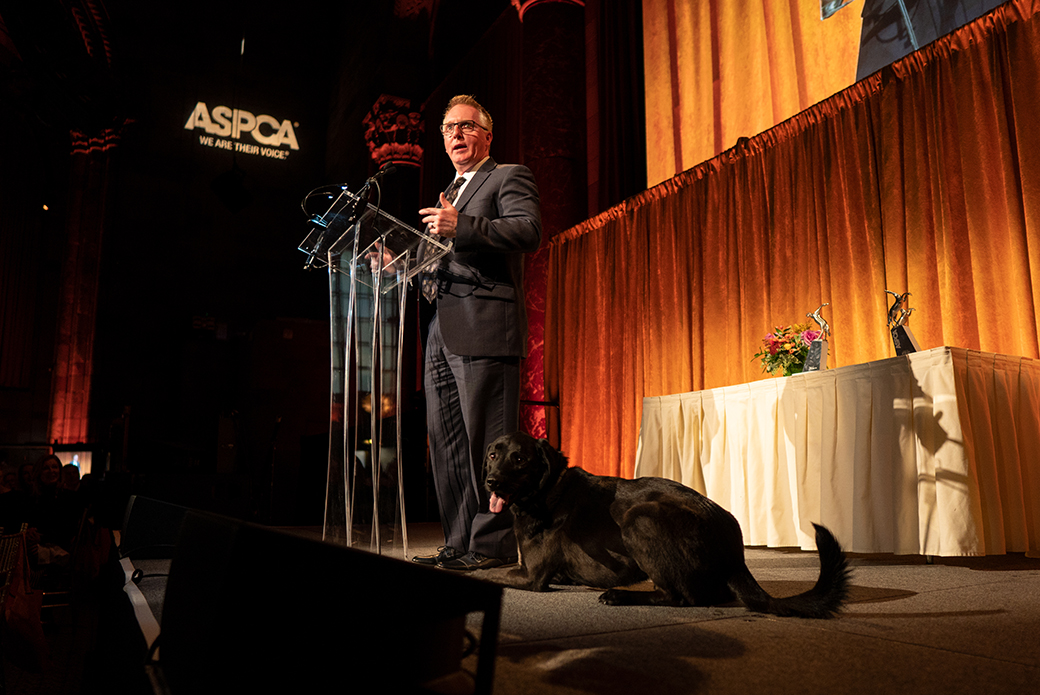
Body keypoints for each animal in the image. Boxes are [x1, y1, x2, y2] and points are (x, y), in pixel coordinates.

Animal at [482, 428, 848, 620]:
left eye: (519, 459)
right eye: (492, 455)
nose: (490, 482)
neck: (547, 490)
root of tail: (735, 553)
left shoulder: (531, 576)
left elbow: (484, 575)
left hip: (638, 517)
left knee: (680, 596)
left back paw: (618, 596)